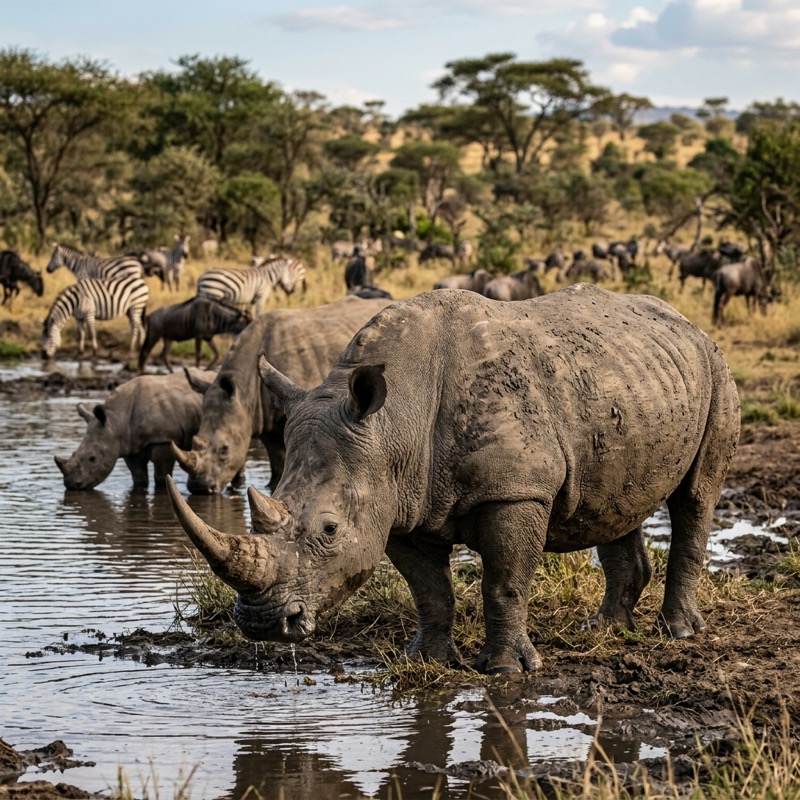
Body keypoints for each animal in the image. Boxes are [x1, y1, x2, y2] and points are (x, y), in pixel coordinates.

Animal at [55, 369, 217, 490]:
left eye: (92, 458)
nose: (71, 484)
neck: (115, 420)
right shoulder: (129, 444)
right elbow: (138, 477)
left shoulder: (163, 439)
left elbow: (161, 476)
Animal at [171, 296, 394, 495]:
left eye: (224, 449)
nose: (199, 488)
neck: (244, 393)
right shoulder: (264, 416)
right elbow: (278, 464)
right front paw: (271, 486)